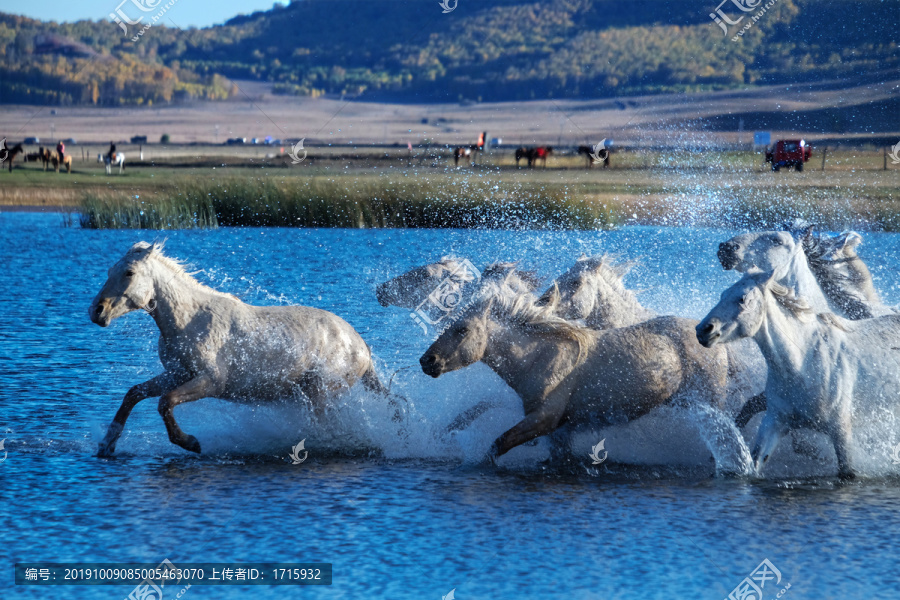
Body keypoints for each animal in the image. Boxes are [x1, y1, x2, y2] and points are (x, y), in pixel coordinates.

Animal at [91, 239, 390, 454]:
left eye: (129, 272)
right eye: (108, 271)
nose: (96, 311)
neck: (189, 321)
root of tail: (363, 349)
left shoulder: (212, 381)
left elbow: (166, 402)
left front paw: (190, 442)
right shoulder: (178, 373)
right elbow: (134, 394)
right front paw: (106, 445)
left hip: (322, 393)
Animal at [700, 272, 900, 478]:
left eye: (742, 298)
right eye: (723, 294)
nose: (703, 330)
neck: (803, 364)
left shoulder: (841, 430)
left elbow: (847, 471)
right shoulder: (775, 422)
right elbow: (756, 460)